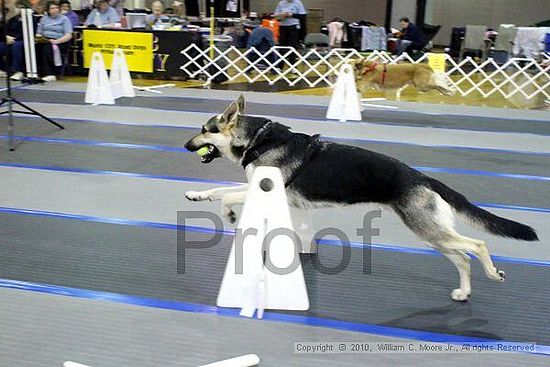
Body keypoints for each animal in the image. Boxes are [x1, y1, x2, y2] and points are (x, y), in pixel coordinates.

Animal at [185, 96, 540, 304]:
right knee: (463, 258)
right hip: (432, 235)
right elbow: (218, 191)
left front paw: (229, 214)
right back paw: (464, 292)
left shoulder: (262, 189)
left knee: (476, 245)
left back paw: (493, 274)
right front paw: (197, 194)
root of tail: (423, 177)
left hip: (428, 230)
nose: (187, 146)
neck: (257, 140)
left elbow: (228, 196)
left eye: (204, 129)